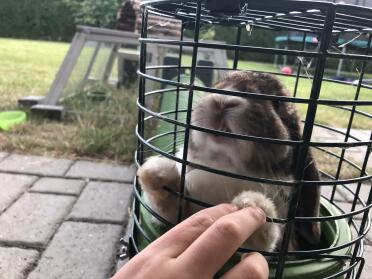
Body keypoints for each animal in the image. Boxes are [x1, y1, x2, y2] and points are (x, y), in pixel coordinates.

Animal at [138, 71, 322, 253]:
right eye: (217, 85)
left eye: (277, 103)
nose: (223, 101)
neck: (225, 168)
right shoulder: (181, 214)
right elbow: (170, 208)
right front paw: (156, 171)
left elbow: (258, 246)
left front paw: (255, 206)